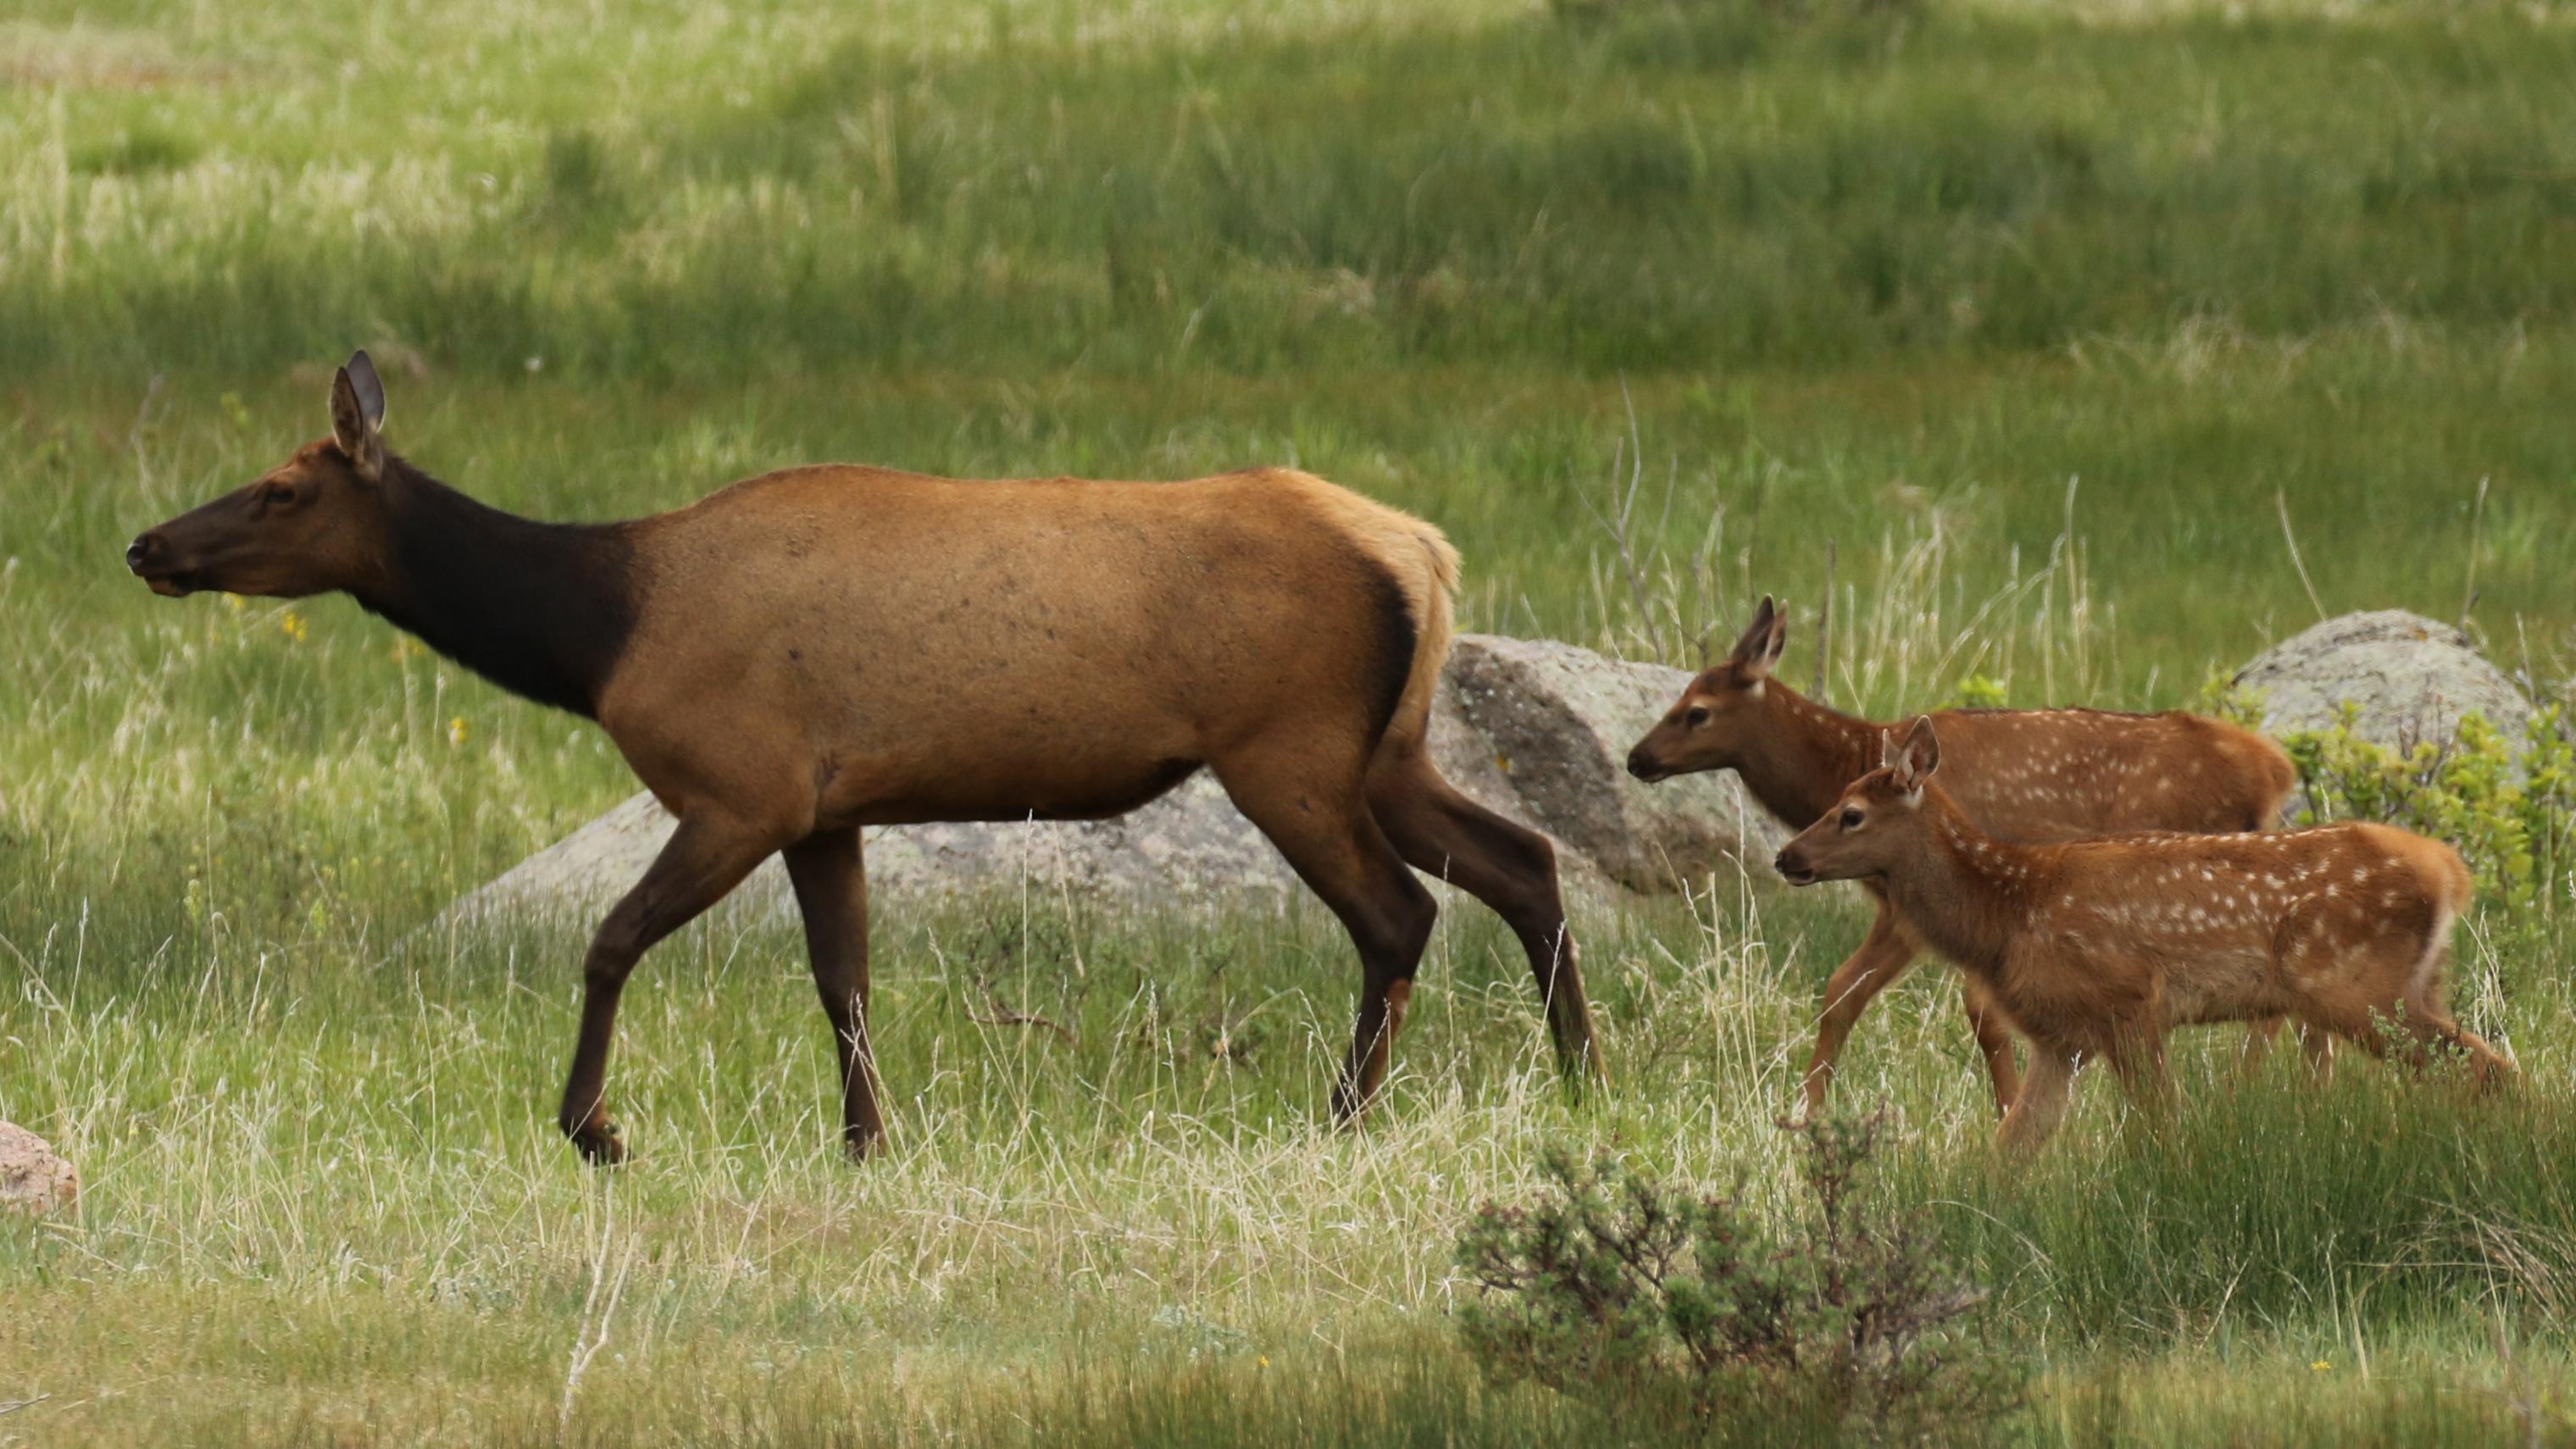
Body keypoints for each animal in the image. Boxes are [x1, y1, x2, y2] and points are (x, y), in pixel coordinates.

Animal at [124, 352, 1602, 1164]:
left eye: (281, 488)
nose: (148, 542)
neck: (598, 633)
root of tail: (1425, 553)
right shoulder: (825, 808)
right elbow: (845, 979)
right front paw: (866, 1140)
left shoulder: (741, 783)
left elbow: (610, 937)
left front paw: (595, 1126)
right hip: (1385, 747)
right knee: (1524, 861)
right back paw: (1584, 1079)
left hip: (1286, 745)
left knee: (1398, 912)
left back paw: (1342, 1114)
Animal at [1624, 597, 2300, 1119]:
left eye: (1696, 711)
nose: (1636, 758)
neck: (1848, 760)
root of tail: (2274, 770)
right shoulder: (1900, 905)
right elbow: (1841, 991)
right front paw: (1805, 1111)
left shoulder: (1929, 902)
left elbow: (1970, 1011)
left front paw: (2006, 1106)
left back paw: (2243, 1088)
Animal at [1774, 717, 2511, 1155]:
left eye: (1850, 813)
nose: (1786, 856)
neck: (2009, 913)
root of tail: (2449, 870)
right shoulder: (2062, 1037)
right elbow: (2011, 1149)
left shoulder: (2129, 1004)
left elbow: (2164, 1125)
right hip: (2417, 985)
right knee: (2479, 1065)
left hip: (2355, 987)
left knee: (2488, 1065)